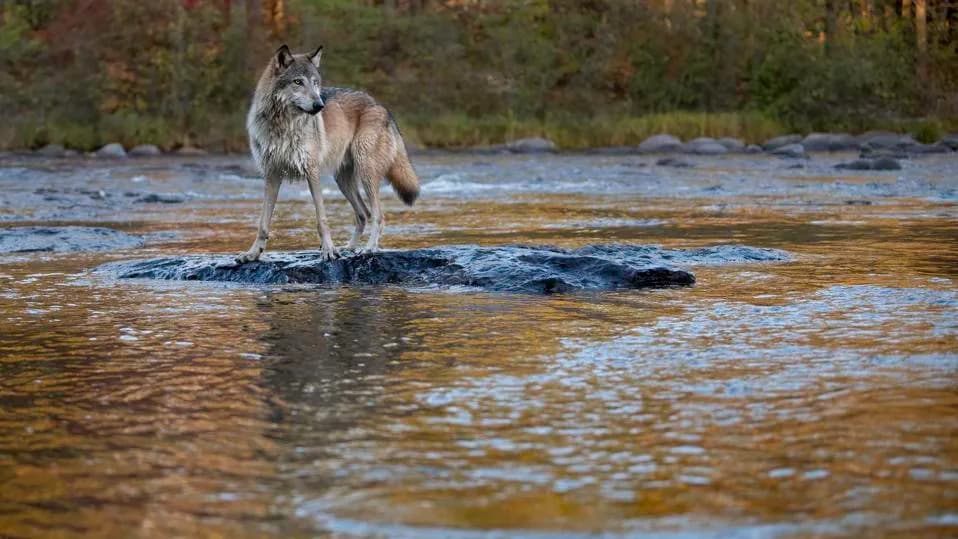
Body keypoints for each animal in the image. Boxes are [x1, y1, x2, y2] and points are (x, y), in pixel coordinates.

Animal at [236, 44, 420, 264]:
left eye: (315, 83)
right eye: (298, 82)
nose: (319, 105)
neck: (283, 126)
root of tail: (382, 107)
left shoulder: (312, 172)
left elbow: (322, 219)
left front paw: (329, 250)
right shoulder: (272, 175)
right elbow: (263, 223)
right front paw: (253, 253)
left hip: (366, 172)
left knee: (378, 216)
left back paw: (368, 249)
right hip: (342, 181)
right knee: (363, 214)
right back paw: (349, 248)